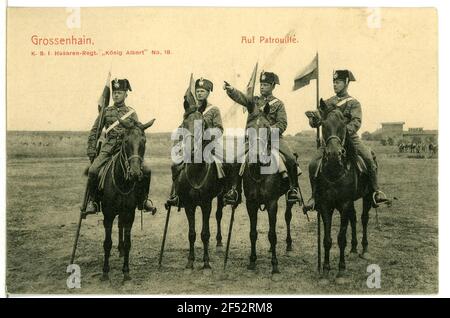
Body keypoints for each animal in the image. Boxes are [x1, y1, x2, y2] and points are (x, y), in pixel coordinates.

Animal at [100, 118, 155, 280]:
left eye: (144, 141)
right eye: (125, 141)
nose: (135, 174)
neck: (122, 183)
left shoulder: (129, 213)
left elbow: (128, 242)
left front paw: (126, 272)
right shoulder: (108, 214)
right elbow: (107, 242)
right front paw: (105, 272)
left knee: (121, 227)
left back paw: (121, 250)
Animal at [243, 115, 296, 276]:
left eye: (267, 128)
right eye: (248, 128)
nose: (256, 156)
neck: (259, 172)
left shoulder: (272, 203)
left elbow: (272, 235)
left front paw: (275, 265)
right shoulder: (251, 204)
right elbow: (253, 233)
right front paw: (252, 261)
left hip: (289, 197)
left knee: (287, 217)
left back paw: (289, 245)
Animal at [312, 109, 372, 280]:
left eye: (343, 127)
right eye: (323, 126)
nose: (333, 154)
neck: (334, 172)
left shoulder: (344, 204)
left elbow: (341, 238)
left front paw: (341, 270)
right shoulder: (325, 205)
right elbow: (327, 239)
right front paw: (325, 270)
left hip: (367, 196)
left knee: (364, 218)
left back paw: (364, 250)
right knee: (354, 218)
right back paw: (353, 250)